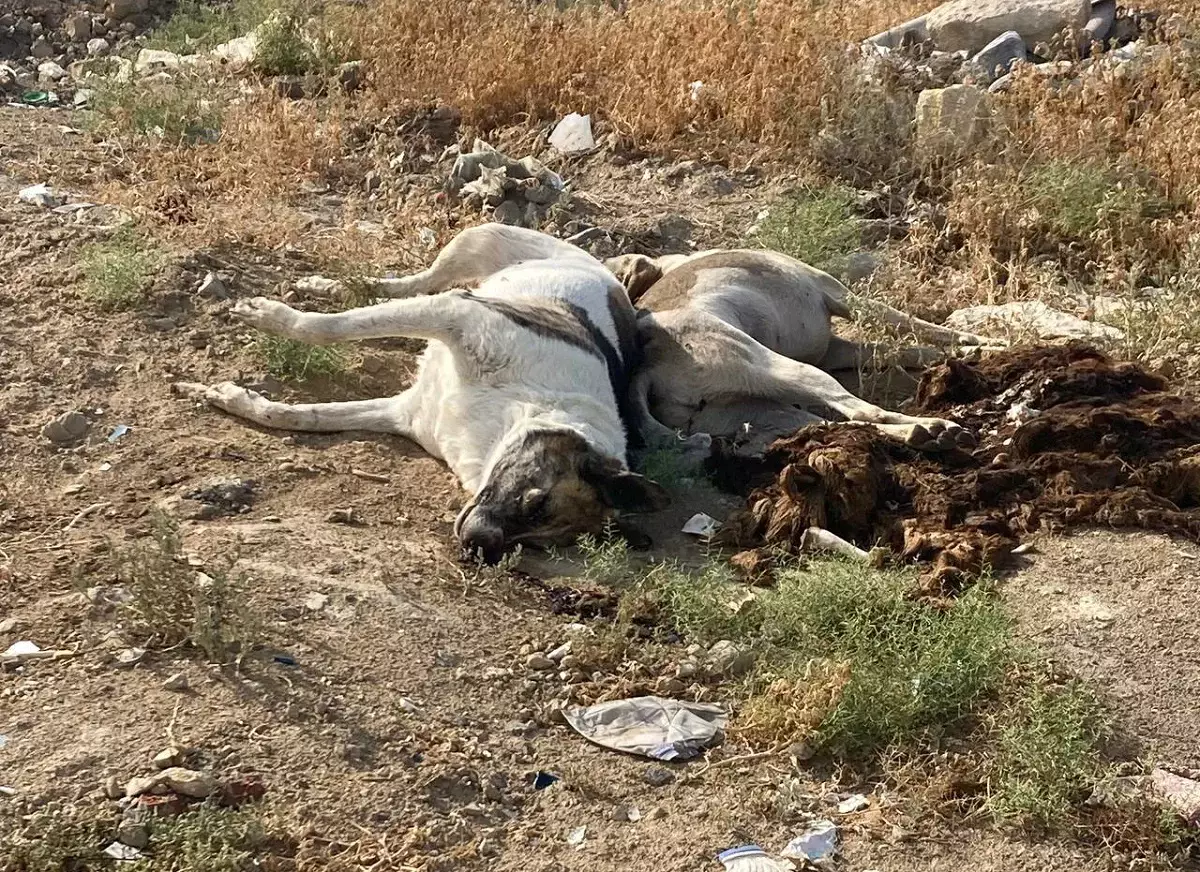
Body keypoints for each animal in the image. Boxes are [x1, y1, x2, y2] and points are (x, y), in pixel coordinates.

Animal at [175, 223, 672, 566]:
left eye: (539, 545)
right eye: (535, 501)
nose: (476, 551)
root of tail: (608, 273)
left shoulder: (403, 413)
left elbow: (299, 416)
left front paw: (233, 398)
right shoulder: (457, 314)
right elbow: (328, 326)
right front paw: (272, 317)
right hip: (476, 241)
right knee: (405, 285)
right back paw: (325, 286)